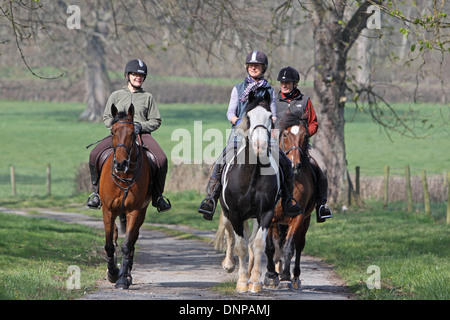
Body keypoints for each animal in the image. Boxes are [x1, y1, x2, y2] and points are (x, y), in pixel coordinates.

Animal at [100, 104, 153, 288]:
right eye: (113, 132)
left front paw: (122, 278)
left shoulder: (134, 211)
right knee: (116, 234)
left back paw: (127, 275)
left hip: (141, 213)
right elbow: (109, 244)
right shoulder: (107, 210)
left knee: (132, 241)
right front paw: (112, 273)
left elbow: (127, 245)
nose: (121, 163)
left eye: (132, 133)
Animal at [213, 92, 280, 292]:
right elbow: (240, 246)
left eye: (270, 117)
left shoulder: (265, 213)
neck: (252, 174)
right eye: (248, 117)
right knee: (229, 235)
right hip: (228, 212)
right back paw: (229, 265)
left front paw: (255, 282)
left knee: (251, 242)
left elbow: (257, 245)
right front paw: (242, 282)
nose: (260, 145)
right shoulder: (235, 213)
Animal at [264, 112, 316, 290]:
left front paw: (286, 277)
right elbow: (270, 247)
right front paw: (271, 276)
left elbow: (288, 247)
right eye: (285, 135)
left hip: (305, 220)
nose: (295, 164)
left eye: (305, 136)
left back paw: (295, 277)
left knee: (298, 245)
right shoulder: (269, 217)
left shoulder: (298, 217)